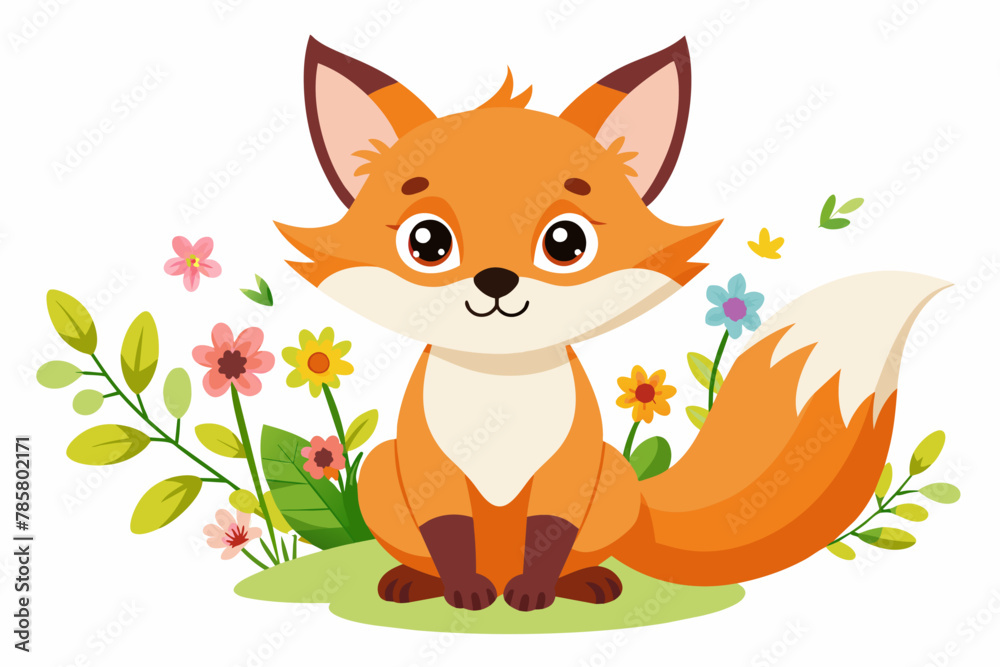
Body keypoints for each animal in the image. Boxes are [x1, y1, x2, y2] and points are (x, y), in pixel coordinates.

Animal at [277, 36, 949, 612]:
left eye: (565, 242)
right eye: (427, 242)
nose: (495, 280)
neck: (502, 386)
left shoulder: (574, 471)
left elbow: (551, 530)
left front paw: (532, 594)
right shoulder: (426, 467)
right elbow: (448, 532)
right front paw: (465, 592)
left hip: (617, 480)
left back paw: (585, 582)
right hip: (378, 472)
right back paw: (418, 581)